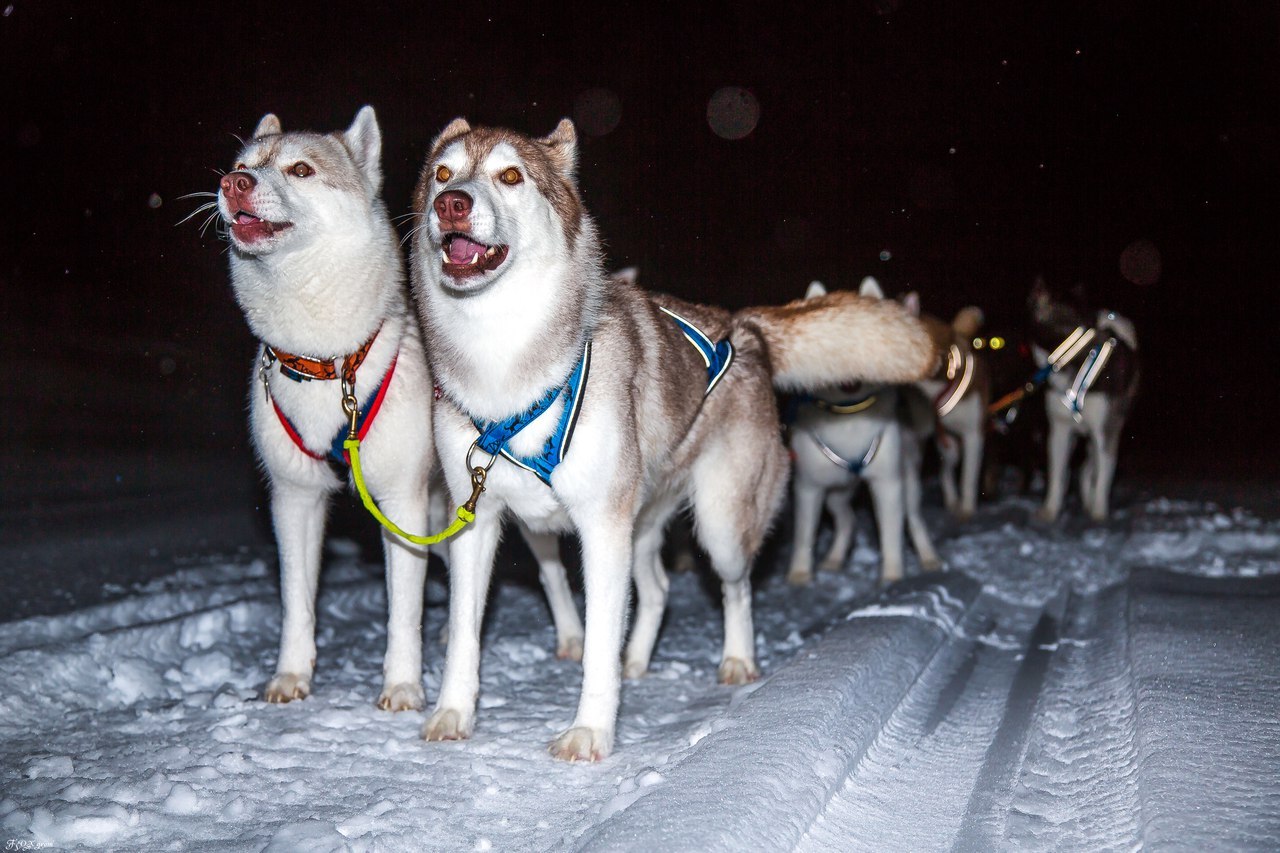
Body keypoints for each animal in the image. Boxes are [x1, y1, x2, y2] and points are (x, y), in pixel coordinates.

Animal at [788, 279, 942, 584]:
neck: (849, 414)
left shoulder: (888, 484)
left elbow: (891, 535)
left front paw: (892, 578)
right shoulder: (809, 487)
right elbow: (803, 536)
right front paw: (800, 574)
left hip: (908, 484)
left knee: (914, 520)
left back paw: (929, 558)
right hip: (836, 493)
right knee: (847, 521)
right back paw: (834, 559)